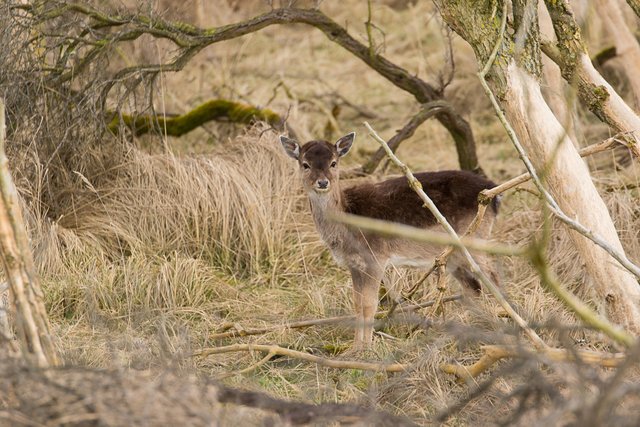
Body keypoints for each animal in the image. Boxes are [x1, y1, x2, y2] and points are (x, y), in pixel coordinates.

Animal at [280, 134, 500, 352]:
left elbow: (370, 304)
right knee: (473, 286)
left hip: (475, 237)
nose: (323, 182)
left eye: (334, 162)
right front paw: (354, 347)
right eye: (305, 164)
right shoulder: (354, 264)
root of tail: (494, 195)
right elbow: (357, 305)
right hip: (454, 254)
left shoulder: (376, 257)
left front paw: (366, 349)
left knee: (492, 275)